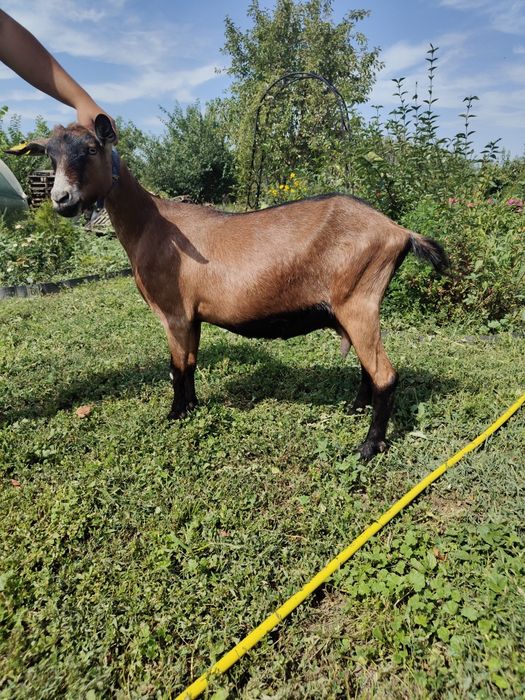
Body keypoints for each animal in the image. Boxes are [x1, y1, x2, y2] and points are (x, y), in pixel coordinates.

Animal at [6, 115, 449, 460]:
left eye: (91, 149)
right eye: (52, 155)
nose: (61, 199)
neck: (153, 224)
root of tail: (398, 231)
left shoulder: (174, 312)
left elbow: (176, 366)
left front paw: (175, 414)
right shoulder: (193, 315)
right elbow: (189, 363)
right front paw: (192, 407)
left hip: (359, 300)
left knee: (385, 374)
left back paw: (369, 446)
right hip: (352, 307)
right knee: (367, 367)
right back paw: (354, 409)